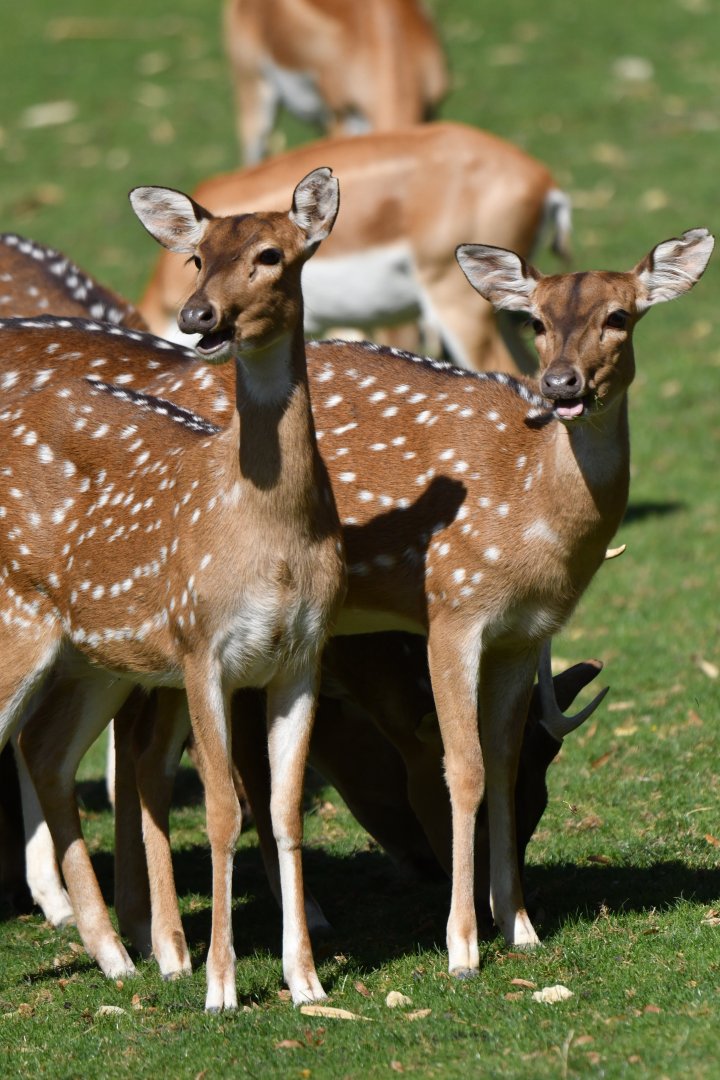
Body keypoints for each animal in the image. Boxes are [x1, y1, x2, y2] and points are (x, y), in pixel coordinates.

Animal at [0, 167, 347, 1012]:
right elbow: (222, 810)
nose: (199, 316)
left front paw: (306, 981)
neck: (272, 537)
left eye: (270, 254)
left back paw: (114, 957)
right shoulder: (200, 645)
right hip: (17, 616)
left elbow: (284, 811)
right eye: (196, 257)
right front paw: (220, 985)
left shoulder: (301, 655)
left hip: (94, 653)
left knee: (45, 748)